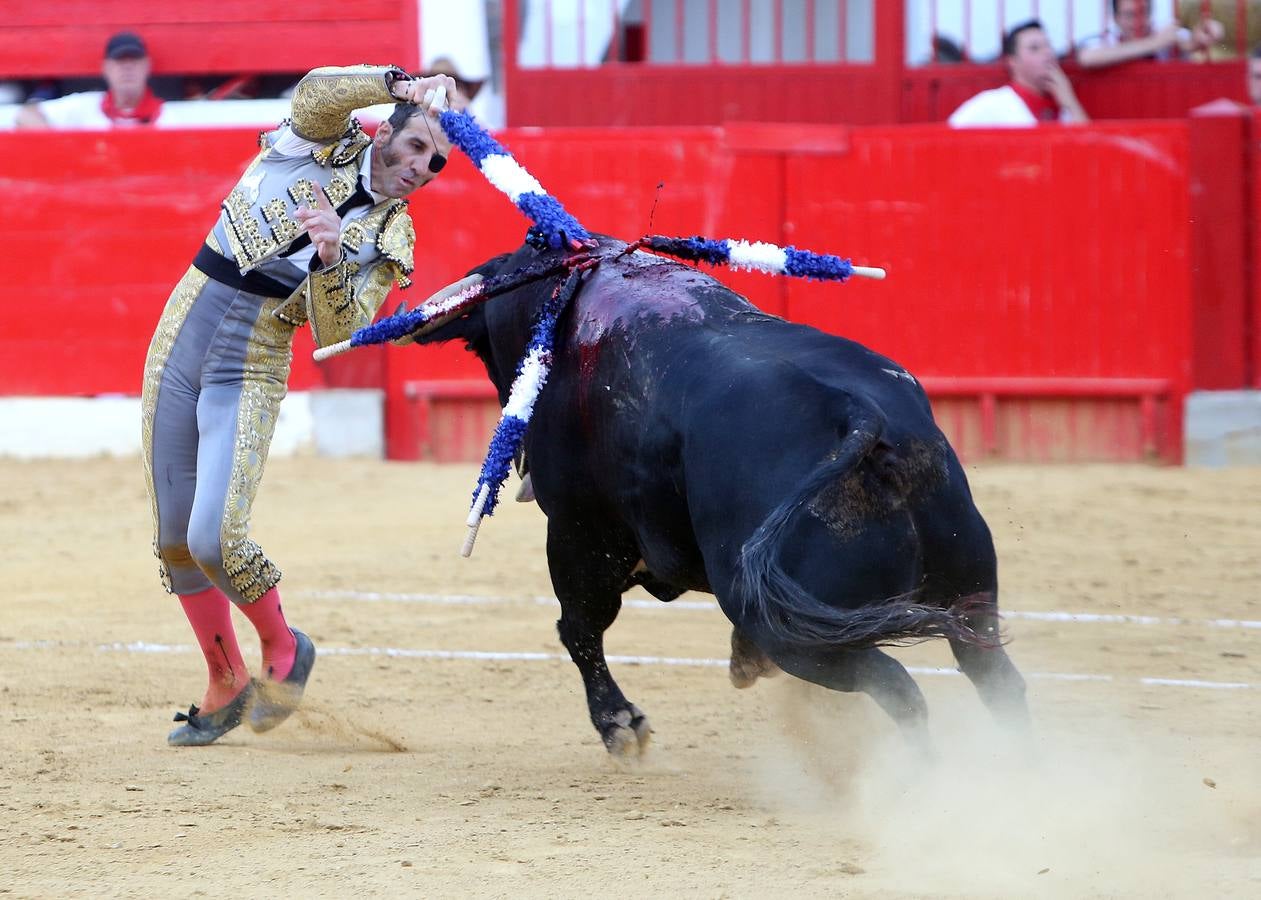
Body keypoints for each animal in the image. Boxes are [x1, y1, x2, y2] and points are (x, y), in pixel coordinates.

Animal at [418, 238, 1028, 756]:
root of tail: (861, 419)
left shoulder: (579, 529)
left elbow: (580, 626)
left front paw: (619, 725)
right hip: (968, 586)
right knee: (997, 678)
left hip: (795, 635)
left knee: (899, 689)